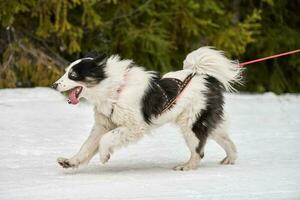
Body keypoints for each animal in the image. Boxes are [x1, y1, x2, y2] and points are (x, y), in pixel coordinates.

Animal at [53, 46, 241, 170]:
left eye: (73, 75)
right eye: (66, 72)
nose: (54, 85)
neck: (114, 89)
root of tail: (205, 77)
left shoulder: (135, 126)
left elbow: (105, 139)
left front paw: (104, 155)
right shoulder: (103, 125)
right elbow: (87, 146)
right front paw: (70, 162)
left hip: (191, 125)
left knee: (198, 151)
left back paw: (186, 166)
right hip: (205, 122)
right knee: (227, 141)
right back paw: (230, 160)